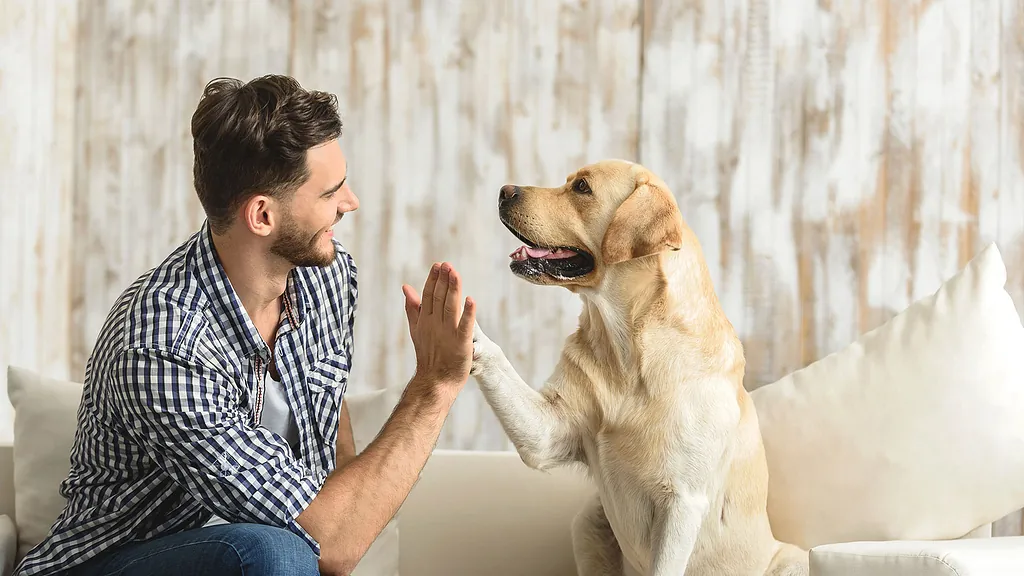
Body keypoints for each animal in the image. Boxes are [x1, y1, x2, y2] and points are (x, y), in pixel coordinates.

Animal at [468, 157, 806, 573]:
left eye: (582, 187)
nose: (504, 191)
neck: (628, 348)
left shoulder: (682, 502)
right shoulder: (548, 431)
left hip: (792, 559)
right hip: (588, 521)